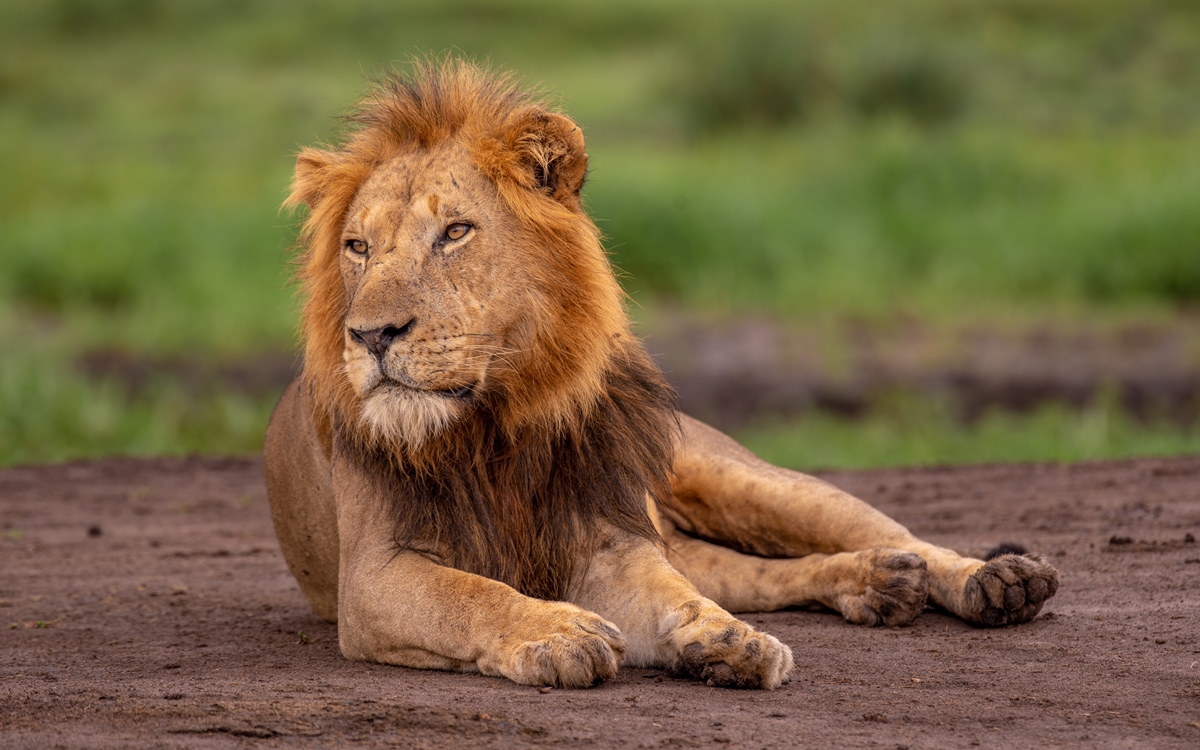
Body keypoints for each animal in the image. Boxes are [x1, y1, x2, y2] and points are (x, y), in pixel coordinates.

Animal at [265, 60, 1060, 691]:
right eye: (358, 247)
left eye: (455, 232)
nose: (371, 335)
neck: (497, 425)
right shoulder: (374, 578)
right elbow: (472, 595)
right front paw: (563, 633)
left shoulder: (610, 544)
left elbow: (669, 594)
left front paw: (724, 639)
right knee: (762, 573)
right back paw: (879, 585)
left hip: (742, 479)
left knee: (894, 535)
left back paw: (995, 582)